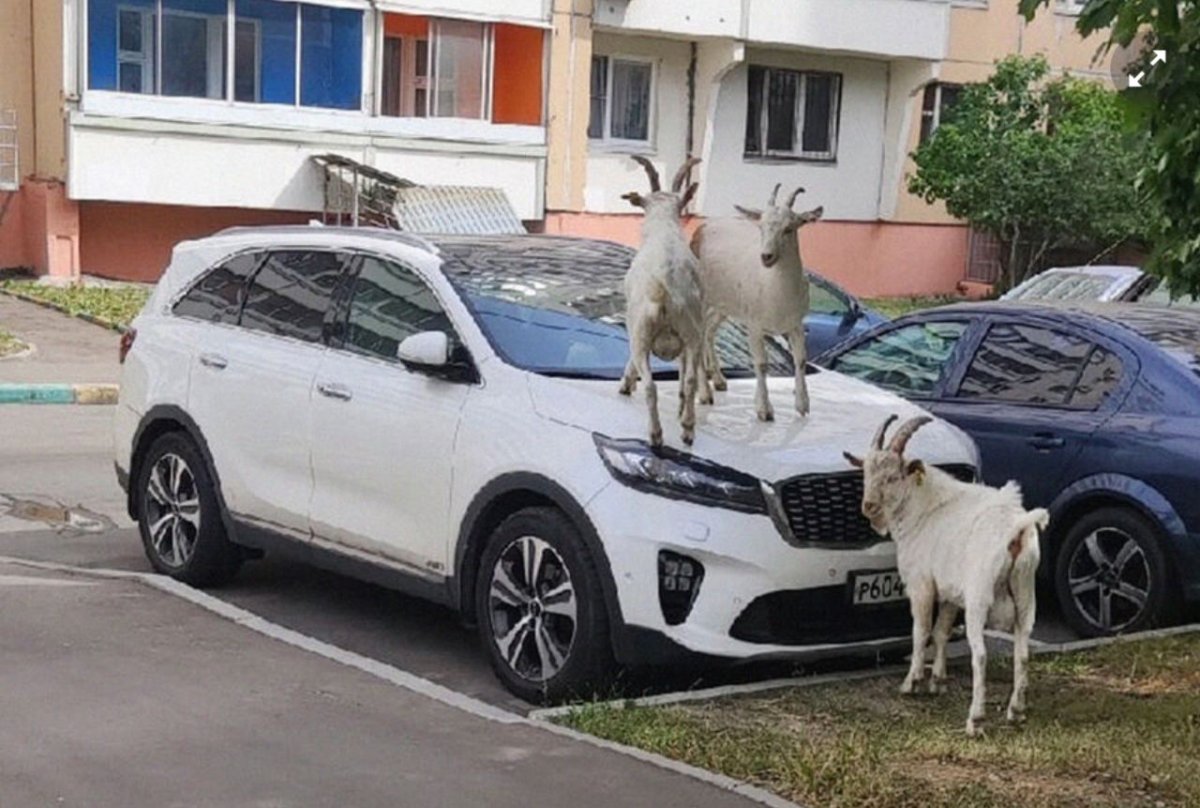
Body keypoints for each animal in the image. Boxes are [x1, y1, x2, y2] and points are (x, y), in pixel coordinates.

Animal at [618, 155, 704, 447]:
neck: (664, 232)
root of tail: (663, 289)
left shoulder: (632, 324)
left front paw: (625, 384)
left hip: (642, 330)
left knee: (650, 385)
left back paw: (658, 433)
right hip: (692, 331)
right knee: (690, 379)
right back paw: (687, 429)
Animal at [691, 184, 823, 421]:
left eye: (789, 228)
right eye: (761, 226)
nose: (766, 256)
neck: (777, 296)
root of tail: (701, 228)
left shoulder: (795, 324)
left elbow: (800, 359)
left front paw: (802, 405)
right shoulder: (754, 325)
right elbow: (761, 364)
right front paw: (764, 409)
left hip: (723, 304)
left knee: (709, 331)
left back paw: (718, 379)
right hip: (703, 298)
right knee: (699, 333)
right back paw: (704, 393)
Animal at [845, 415, 1047, 736]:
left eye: (893, 477)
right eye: (865, 472)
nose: (869, 506)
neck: (924, 509)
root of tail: (1017, 529)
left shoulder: (922, 585)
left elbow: (921, 631)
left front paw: (912, 682)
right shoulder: (951, 592)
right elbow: (941, 631)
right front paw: (937, 681)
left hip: (979, 600)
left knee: (981, 654)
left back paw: (975, 720)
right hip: (1026, 594)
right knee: (1023, 650)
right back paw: (1016, 711)